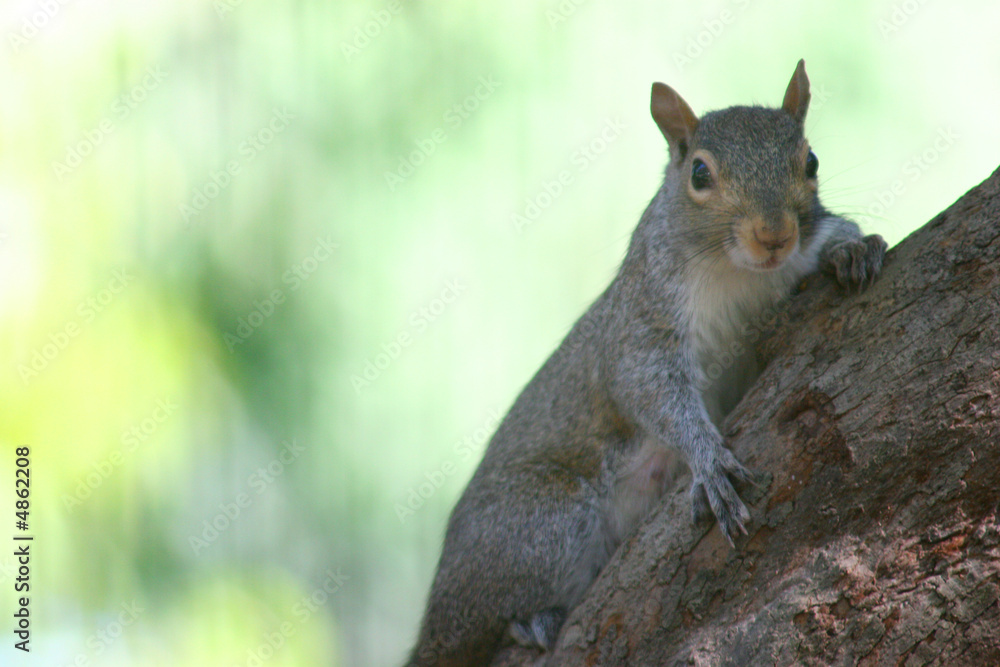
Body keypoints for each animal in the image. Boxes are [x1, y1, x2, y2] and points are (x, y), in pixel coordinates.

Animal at [404, 60, 884, 664]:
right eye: (699, 173)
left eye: (811, 161)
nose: (773, 235)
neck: (740, 275)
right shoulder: (644, 319)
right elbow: (650, 390)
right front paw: (708, 460)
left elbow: (837, 237)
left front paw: (854, 251)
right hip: (541, 525)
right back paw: (528, 621)